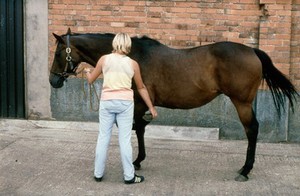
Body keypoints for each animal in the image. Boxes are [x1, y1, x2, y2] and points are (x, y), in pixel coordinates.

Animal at [49, 28, 298, 182]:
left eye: (59, 52)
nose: (53, 80)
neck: (131, 56)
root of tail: (252, 50)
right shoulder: (142, 105)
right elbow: (140, 128)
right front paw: (139, 160)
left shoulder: (138, 102)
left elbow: (135, 129)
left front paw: (136, 161)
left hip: (242, 102)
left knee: (252, 130)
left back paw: (245, 170)